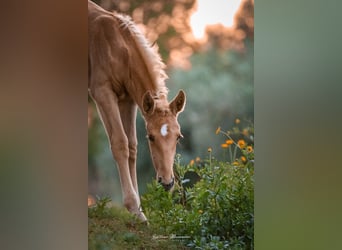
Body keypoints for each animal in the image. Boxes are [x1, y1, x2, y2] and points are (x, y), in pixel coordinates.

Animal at [87, 0, 186, 221]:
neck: (118, 48)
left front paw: (139, 212)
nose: (167, 183)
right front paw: (133, 208)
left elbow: (132, 147)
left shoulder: (128, 100)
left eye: (178, 137)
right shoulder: (102, 93)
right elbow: (120, 143)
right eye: (151, 137)